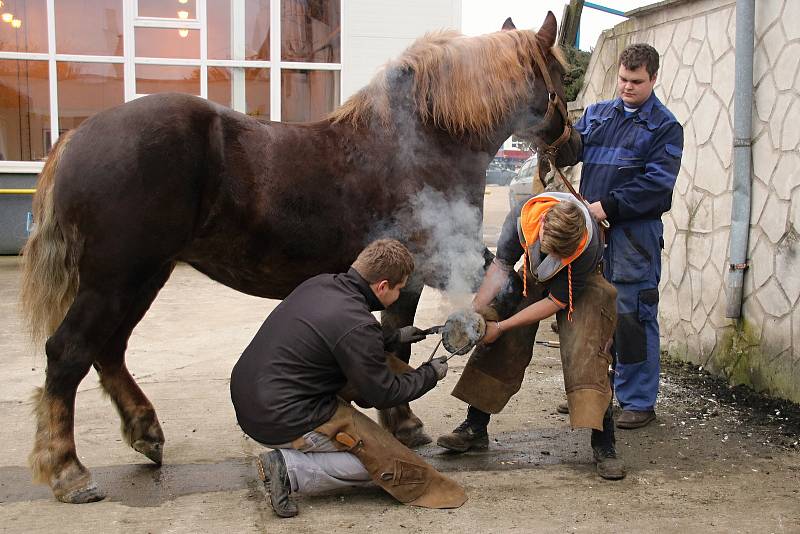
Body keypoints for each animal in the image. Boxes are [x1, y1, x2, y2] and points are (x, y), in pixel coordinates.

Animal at [18, 12, 580, 506]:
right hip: (115, 280)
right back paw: (68, 471)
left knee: (108, 351)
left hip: (142, 278)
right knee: (69, 352)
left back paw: (145, 432)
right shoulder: (420, 269)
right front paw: (405, 423)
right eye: (558, 77)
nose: (573, 145)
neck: (423, 140)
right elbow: (399, 343)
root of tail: (77, 136)